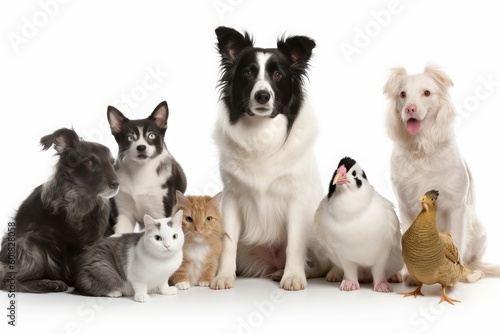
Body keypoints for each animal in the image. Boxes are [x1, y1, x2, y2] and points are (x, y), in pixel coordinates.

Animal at [0, 128, 119, 292]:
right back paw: (48, 283)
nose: (116, 183)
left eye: (112, 163)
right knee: (8, 280)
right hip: (31, 244)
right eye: (89, 162)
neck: (83, 198)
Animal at [107, 100, 188, 234]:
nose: (141, 147)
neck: (140, 171)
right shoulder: (123, 213)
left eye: (151, 136)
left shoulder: (160, 210)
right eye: (130, 137)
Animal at [210, 27, 330, 290]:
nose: (263, 96)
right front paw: (223, 276)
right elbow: (228, 242)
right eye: (247, 72)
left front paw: (293, 276)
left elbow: (295, 242)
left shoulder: (296, 199)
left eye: (277, 74)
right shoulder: (232, 198)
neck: (262, 132)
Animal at [382, 65, 496, 276]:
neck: (422, 149)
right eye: (403, 94)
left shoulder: (456, 207)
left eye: (427, 93)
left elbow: (456, 240)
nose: (409, 109)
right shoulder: (405, 206)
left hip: (479, 229)